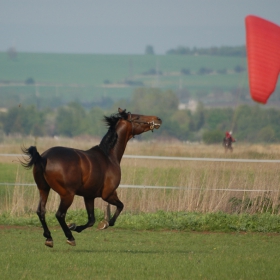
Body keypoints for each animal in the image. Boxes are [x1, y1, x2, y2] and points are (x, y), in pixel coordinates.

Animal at [21, 107, 162, 247]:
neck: (109, 156)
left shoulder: (89, 196)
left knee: (41, 211)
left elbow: (91, 220)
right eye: (137, 117)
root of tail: (43, 157)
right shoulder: (108, 194)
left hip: (43, 189)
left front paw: (75, 226)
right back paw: (69, 237)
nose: (158, 119)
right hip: (67, 195)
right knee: (60, 214)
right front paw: (104, 224)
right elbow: (120, 207)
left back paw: (49, 237)